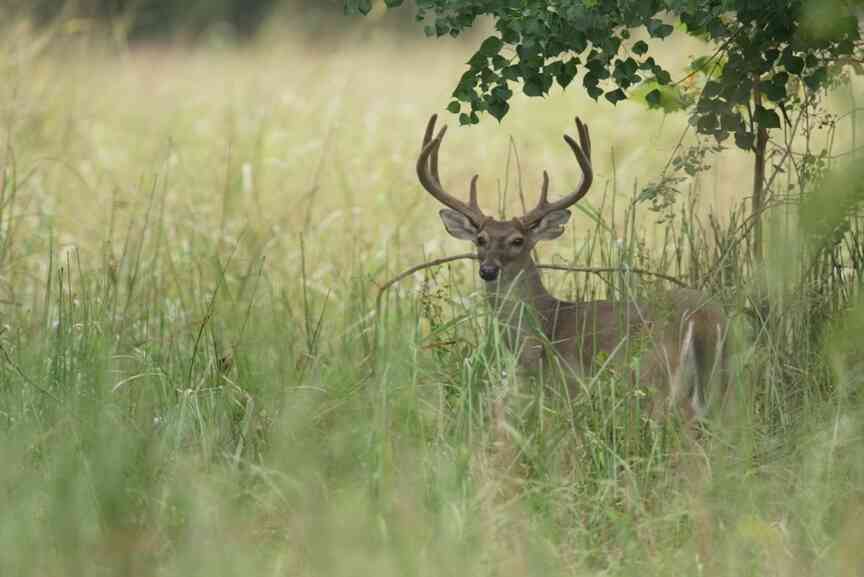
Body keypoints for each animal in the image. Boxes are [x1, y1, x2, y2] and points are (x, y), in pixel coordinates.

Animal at [416, 114, 731, 424]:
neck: (541, 328)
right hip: (719, 381)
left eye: (518, 241)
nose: (488, 270)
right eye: (481, 239)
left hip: (657, 376)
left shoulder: (565, 385)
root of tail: (703, 319)